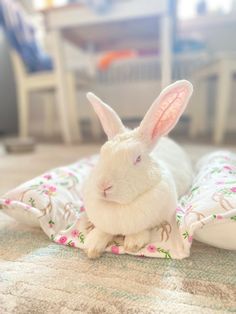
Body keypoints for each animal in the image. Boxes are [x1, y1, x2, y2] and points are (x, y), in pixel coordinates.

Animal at [82, 79, 193, 258]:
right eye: (102, 152)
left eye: (138, 158)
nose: (103, 186)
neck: (117, 206)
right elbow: (102, 230)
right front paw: (91, 247)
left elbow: (143, 230)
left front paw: (133, 244)